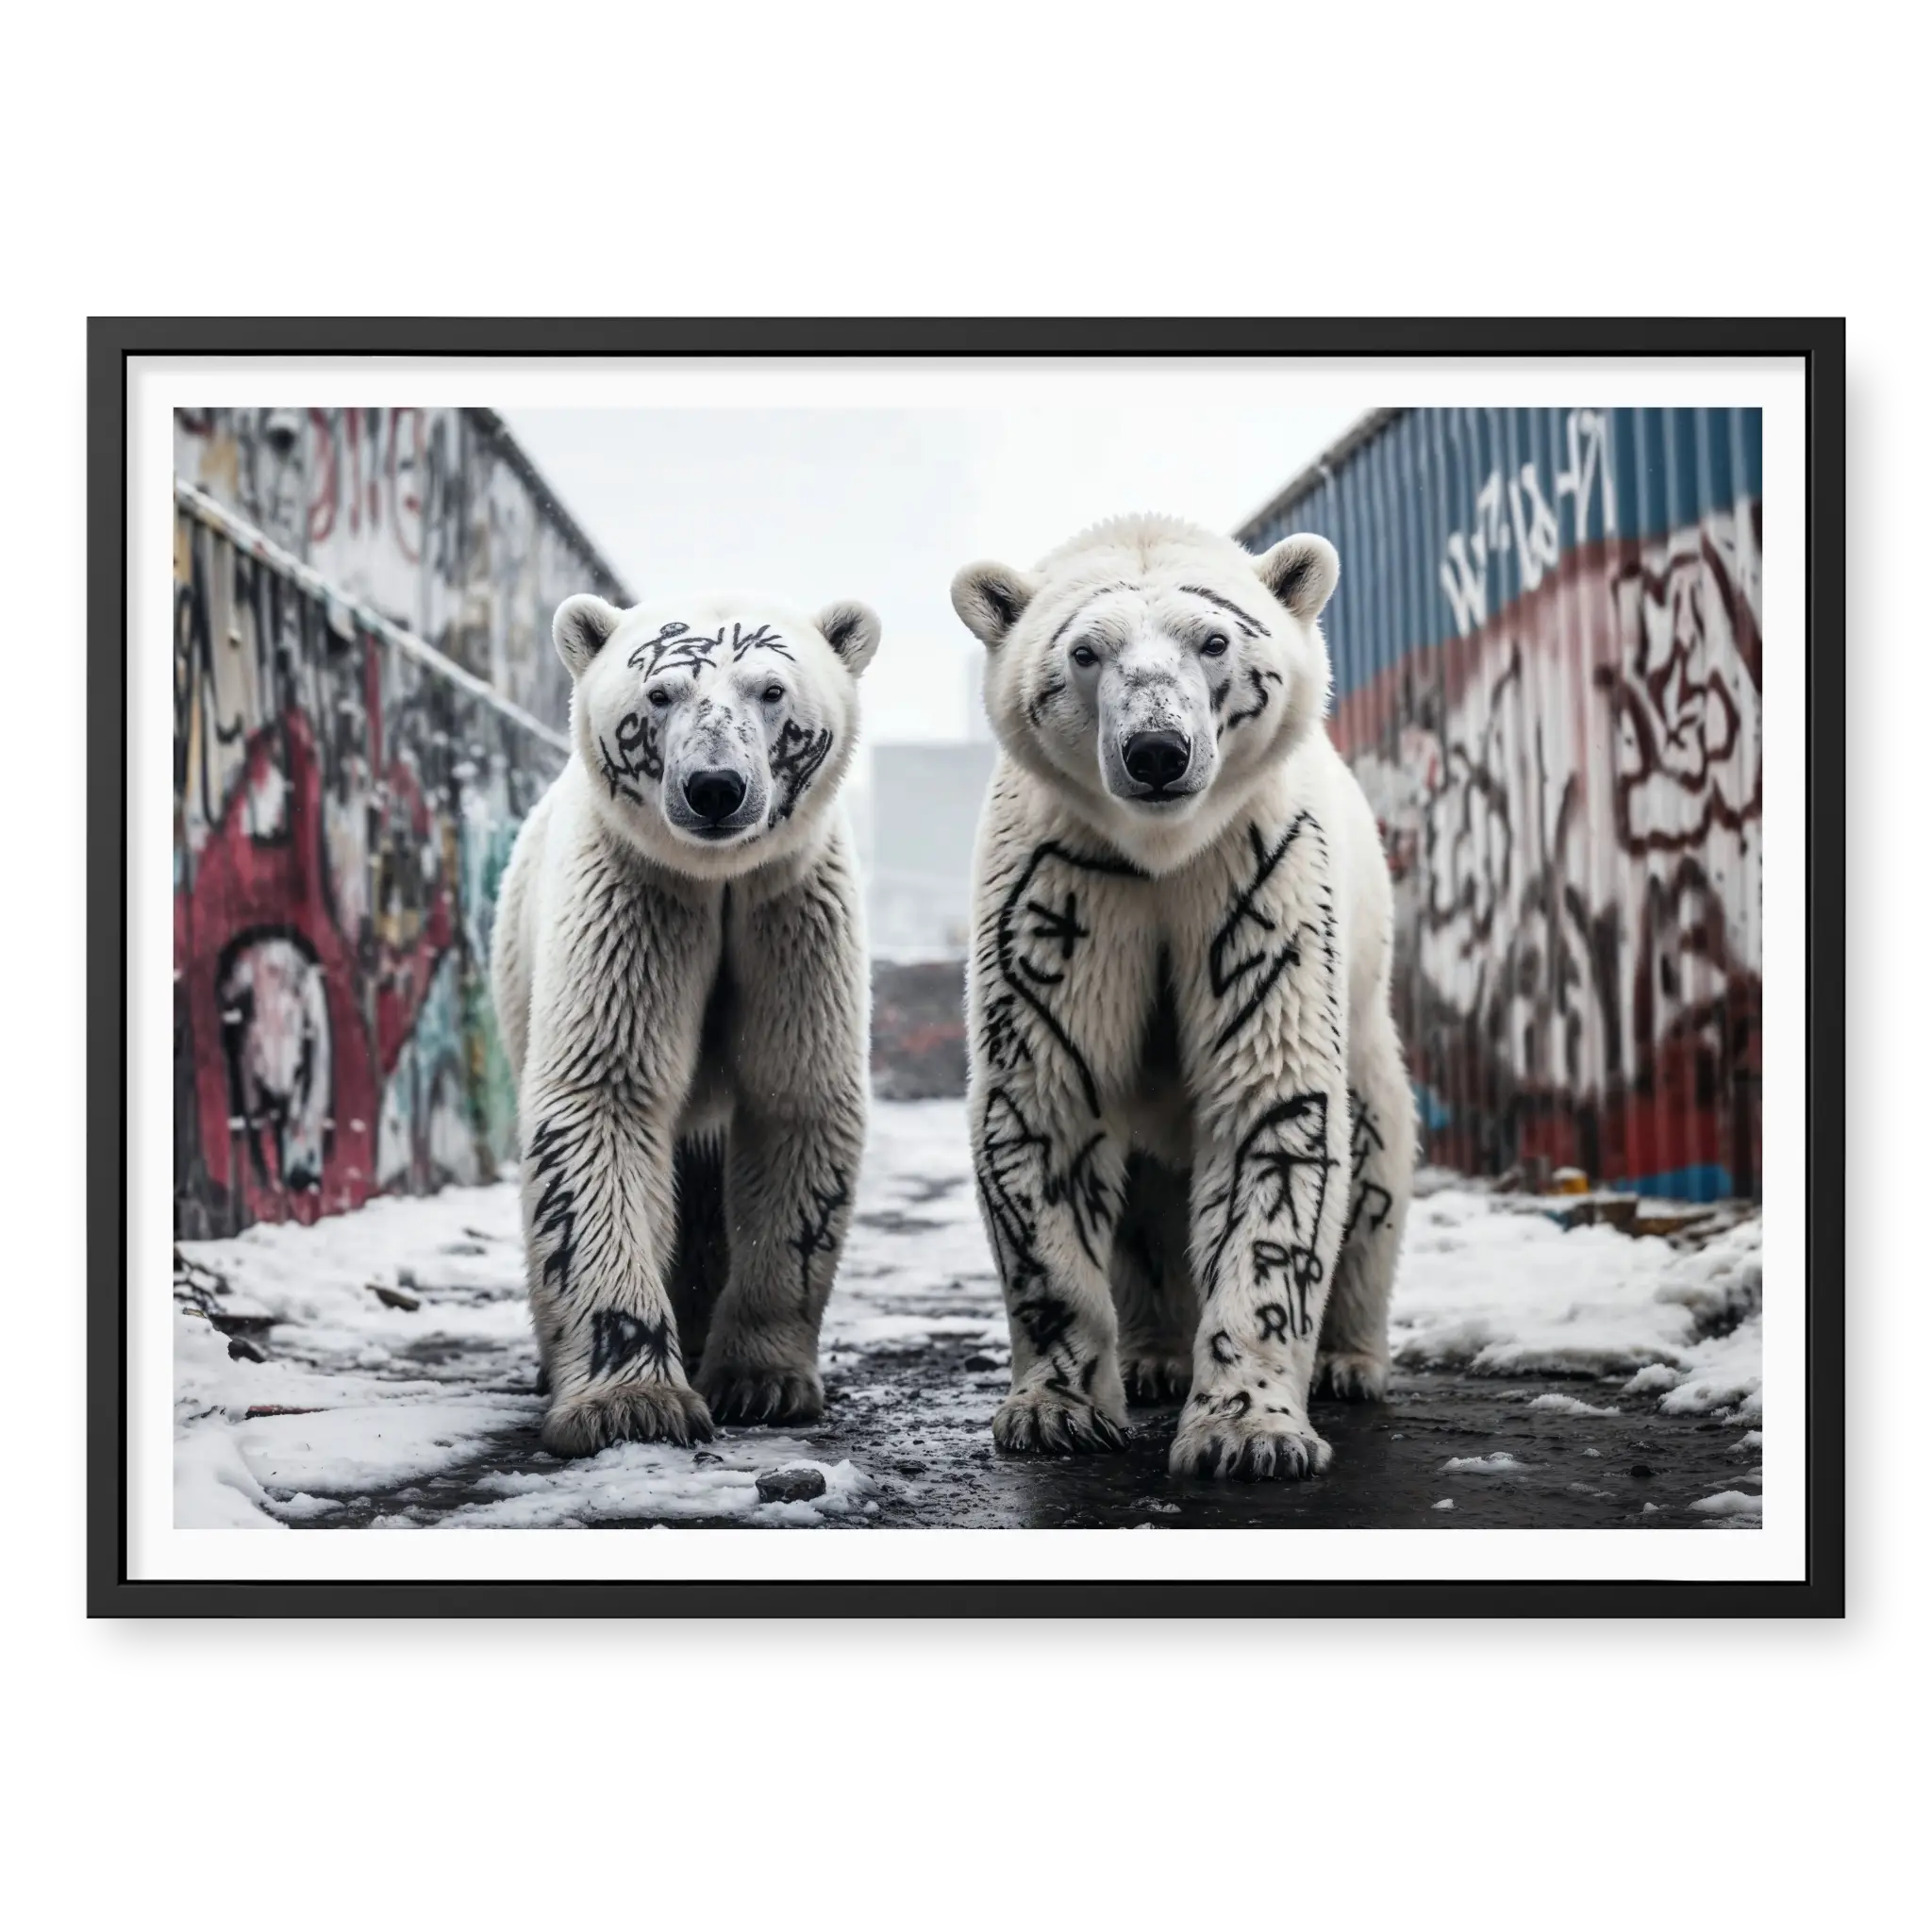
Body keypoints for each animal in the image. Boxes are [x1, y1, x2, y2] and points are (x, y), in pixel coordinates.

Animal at [490, 591, 881, 1457]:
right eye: (661, 692)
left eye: (771, 690)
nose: (714, 788)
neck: (719, 878)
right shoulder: (636, 893)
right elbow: (601, 1097)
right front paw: (630, 1402)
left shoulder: (790, 910)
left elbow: (795, 1100)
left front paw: (763, 1382)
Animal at [950, 515, 1415, 1483]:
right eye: (1086, 651)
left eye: (1214, 641)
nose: (1157, 751)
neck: (1162, 850)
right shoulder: (1063, 885)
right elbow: (1046, 1100)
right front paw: (1055, 1412)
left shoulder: (1258, 871)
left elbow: (1274, 1110)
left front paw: (1251, 1432)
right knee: (1142, 1212)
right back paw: (1153, 1356)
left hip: (1369, 1028)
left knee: (1376, 1162)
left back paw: (1350, 1361)